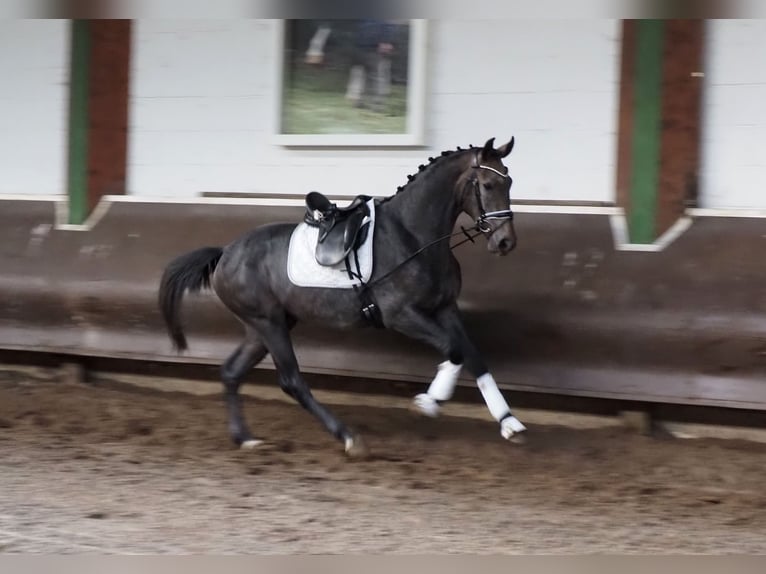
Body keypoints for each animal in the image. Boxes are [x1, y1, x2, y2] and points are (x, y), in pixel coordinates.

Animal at [158, 136, 524, 460]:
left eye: (508, 181)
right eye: (488, 185)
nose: (505, 242)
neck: (414, 236)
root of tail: (225, 252)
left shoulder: (446, 309)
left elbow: (473, 356)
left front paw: (509, 423)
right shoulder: (402, 314)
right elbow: (454, 350)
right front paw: (428, 403)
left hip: (262, 327)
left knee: (232, 372)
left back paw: (245, 439)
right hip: (269, 323)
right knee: (291, 381)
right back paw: (348, 437)